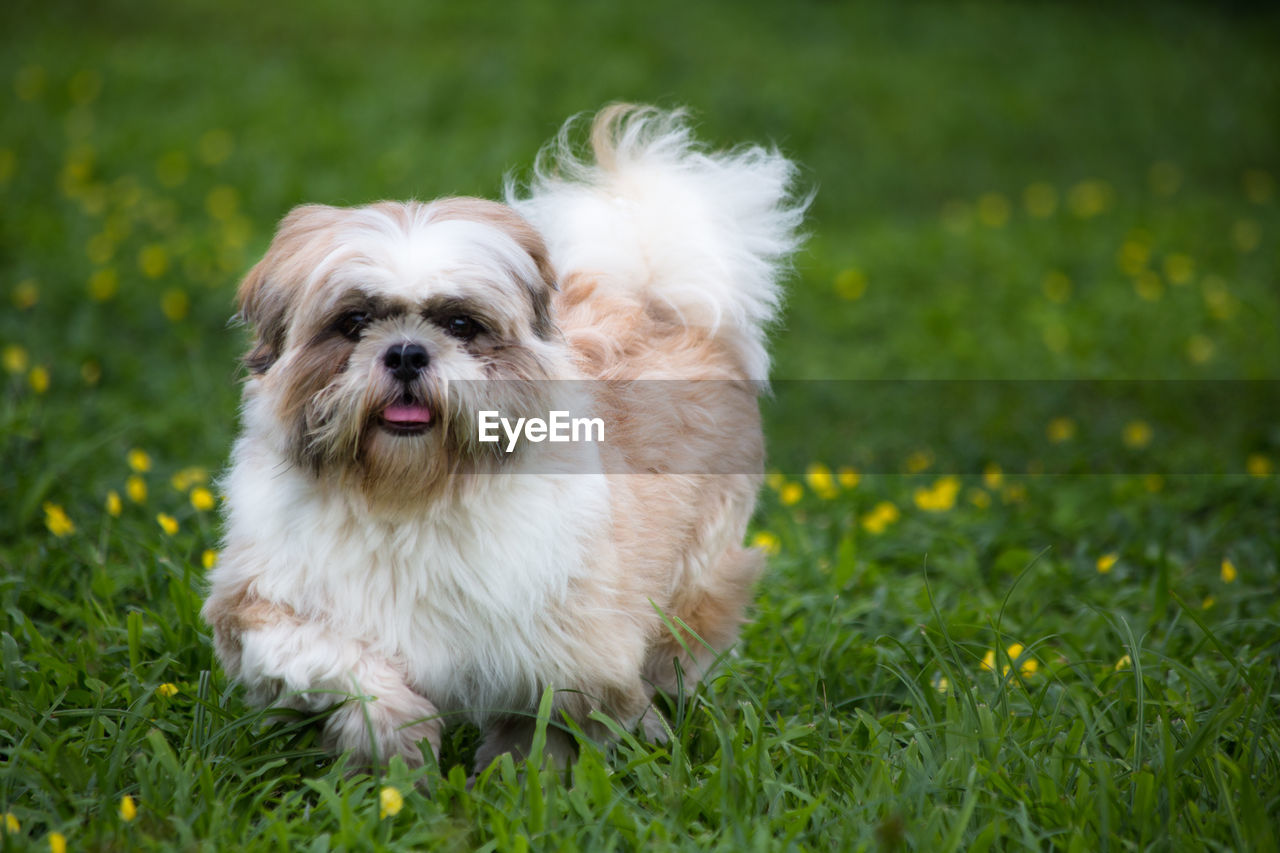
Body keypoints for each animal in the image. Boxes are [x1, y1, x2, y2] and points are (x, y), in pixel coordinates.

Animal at [203, 106, 803, 768]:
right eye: (354, 322)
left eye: (461, 324)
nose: (406, 352)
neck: (410, 494)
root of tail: (652, 298)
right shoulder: (260, 603)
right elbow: (338, 663)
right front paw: (396, 740)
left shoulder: (565, 640)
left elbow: (554, 718)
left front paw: (523, 776)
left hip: (695, 576)